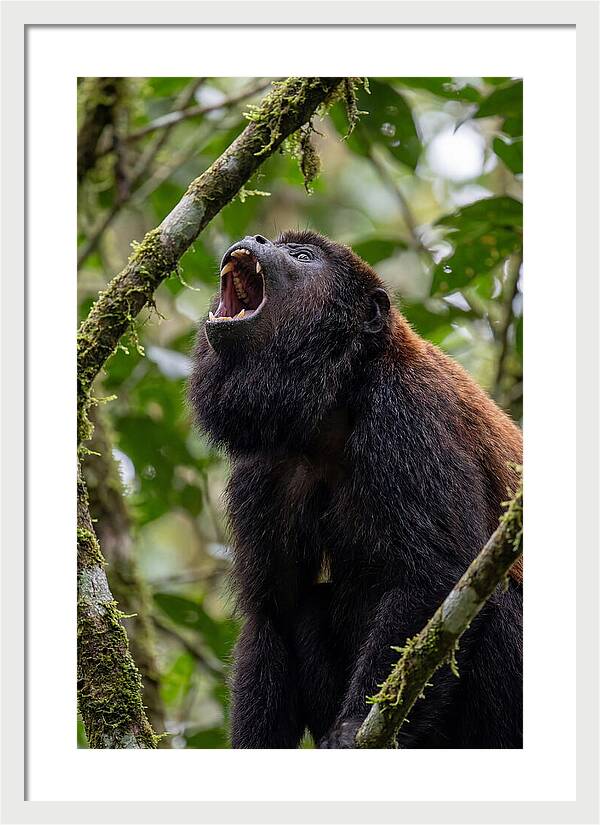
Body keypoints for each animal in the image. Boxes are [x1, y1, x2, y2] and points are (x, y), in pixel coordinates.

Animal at [189, 230, 523, 749]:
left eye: (302, 257)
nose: (256, 237)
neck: (338, 400)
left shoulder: (406, 414)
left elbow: (436, 576)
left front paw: (349, 730)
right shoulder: (265, 465)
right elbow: (273, 611)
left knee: (499, 596)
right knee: (307, 607)